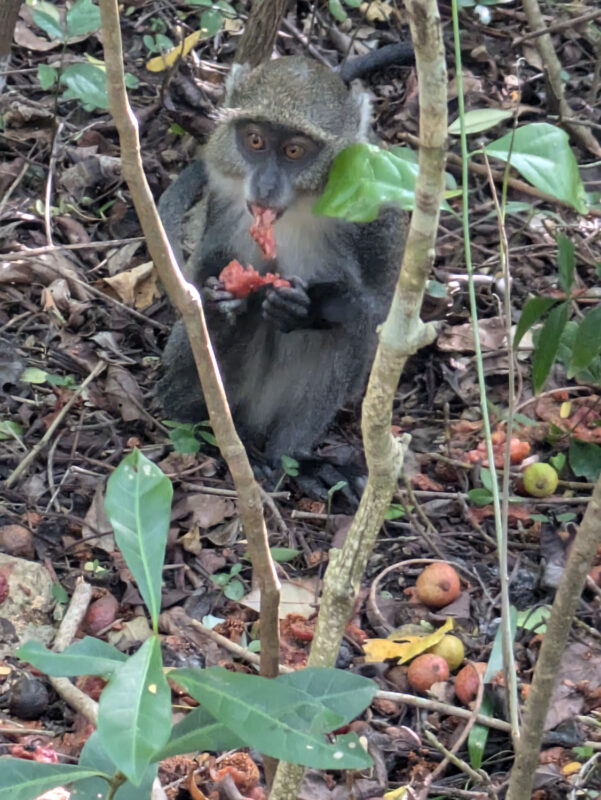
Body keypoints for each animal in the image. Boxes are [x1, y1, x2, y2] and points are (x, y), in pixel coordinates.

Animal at [157, 56, 406, 494]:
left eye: (294, 150)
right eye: (255, 141)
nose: (266, 186)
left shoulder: (380, 206)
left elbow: (382, 310)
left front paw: (308, 307)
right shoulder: (222, 201)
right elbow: (203, 275)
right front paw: (220, 301)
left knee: (347, 334)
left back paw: (292, 458)